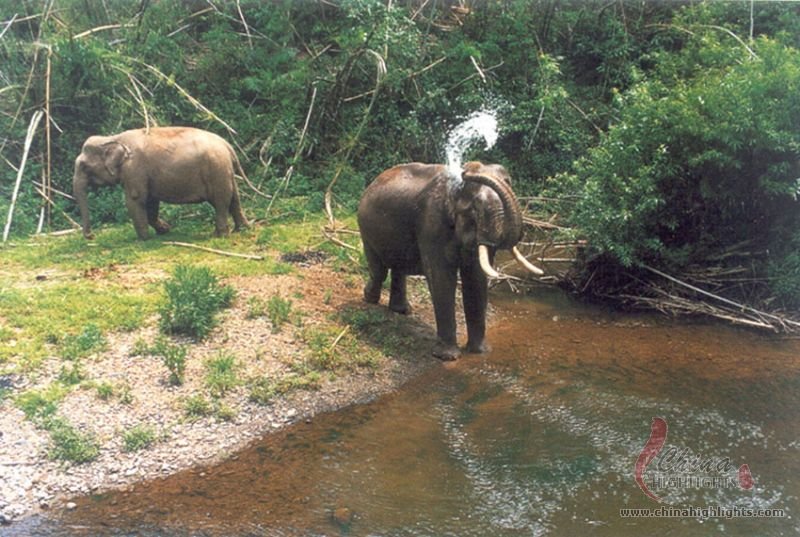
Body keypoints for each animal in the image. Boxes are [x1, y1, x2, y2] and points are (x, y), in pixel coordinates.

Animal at [72, 126, 248, 240]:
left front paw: (143, 239)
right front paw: (164, 230)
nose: (91, 236)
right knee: (234, 199)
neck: (112, 138)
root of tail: (228, 146)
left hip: (216, 171)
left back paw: (219, 235)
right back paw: (242, 229)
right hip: (225, 172)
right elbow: (151, 202)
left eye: (84, 166)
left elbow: (135, 200)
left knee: (221, 202)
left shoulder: (134, 169)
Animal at [357, 161, 543, 360]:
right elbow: (442, 278)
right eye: (476, 209)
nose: (468, 168)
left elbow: (476, 278)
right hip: (366, 228)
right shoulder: (432, 225)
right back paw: (370, 299)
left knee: (398, 268)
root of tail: (373, 182)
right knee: (380, 270)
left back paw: (402, 310)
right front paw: (448, 357)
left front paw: (481, 352)